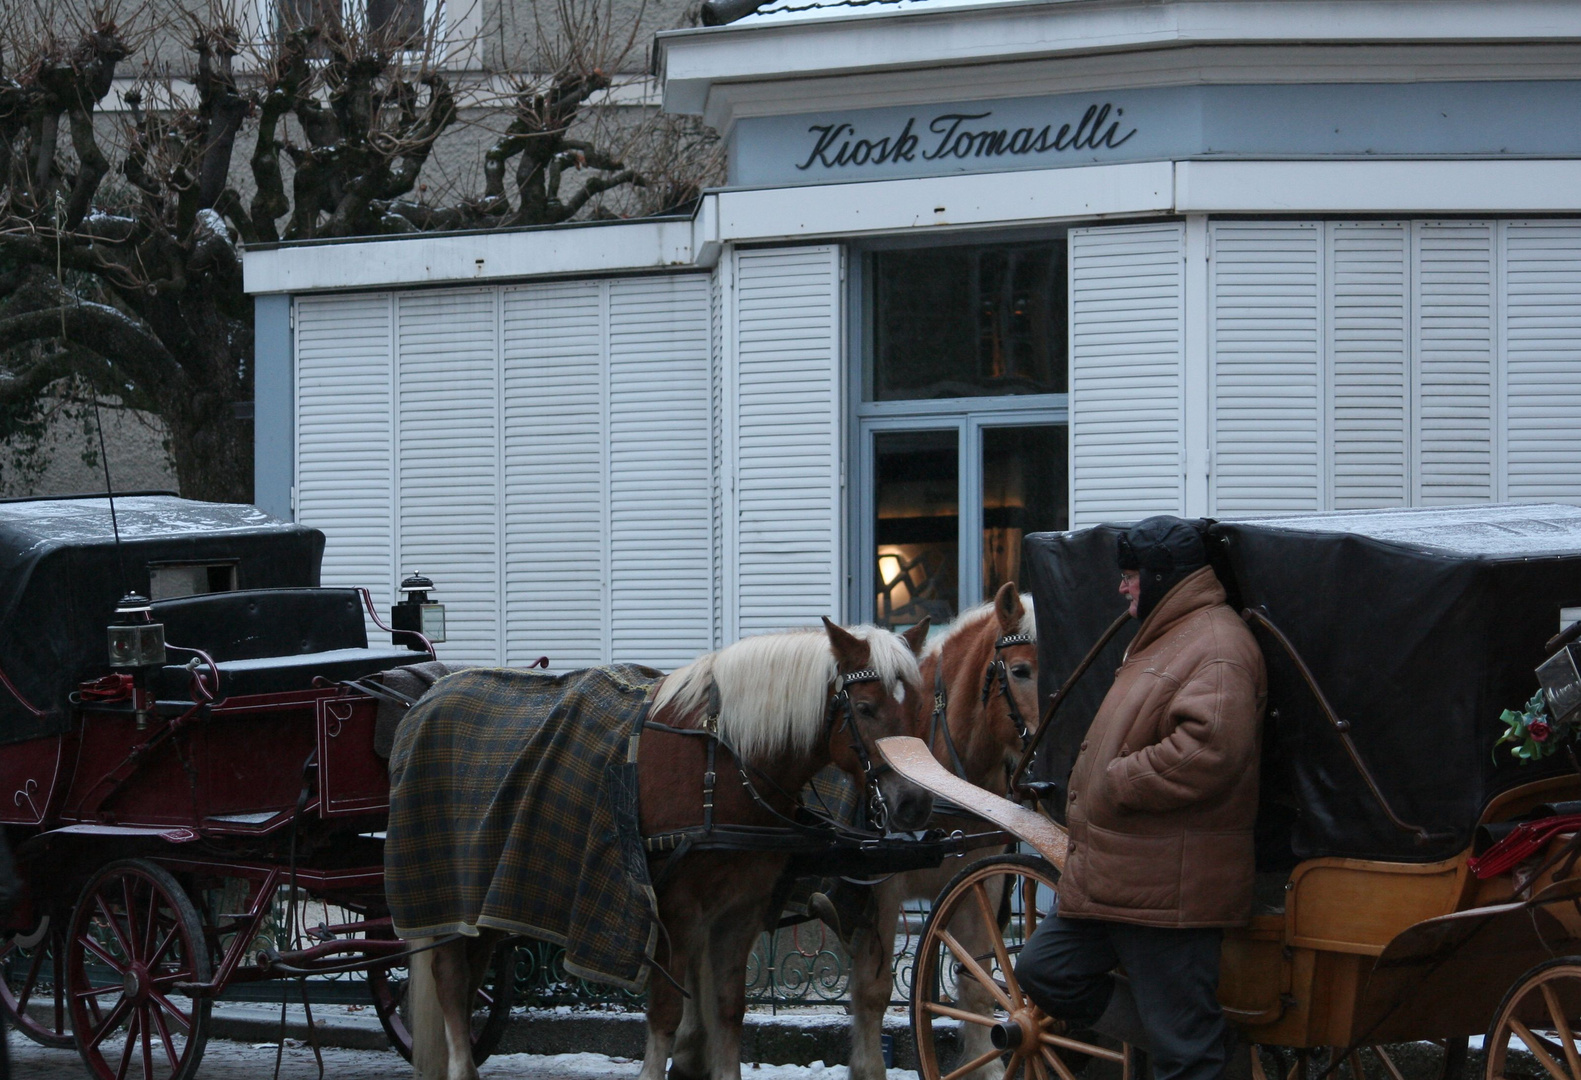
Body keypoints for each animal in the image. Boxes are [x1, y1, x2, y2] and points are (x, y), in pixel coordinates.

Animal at [401, 616, 929, 1080]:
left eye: (920, 709)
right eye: (865, 709)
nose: (915, 803)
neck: (721, 762)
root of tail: (427, 698)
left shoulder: (741, 911)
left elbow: (728, 1009)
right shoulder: (672, 911)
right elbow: (667, 1011)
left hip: (488, 899)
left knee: (471, 975)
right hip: (450, 897)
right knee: (450, 979)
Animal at [841, 581, 1037, 1080]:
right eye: (1021, 670)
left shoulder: (982, 883)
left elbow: (979, 986)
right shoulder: (882, 890)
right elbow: (872, 989)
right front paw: (867, 1067)